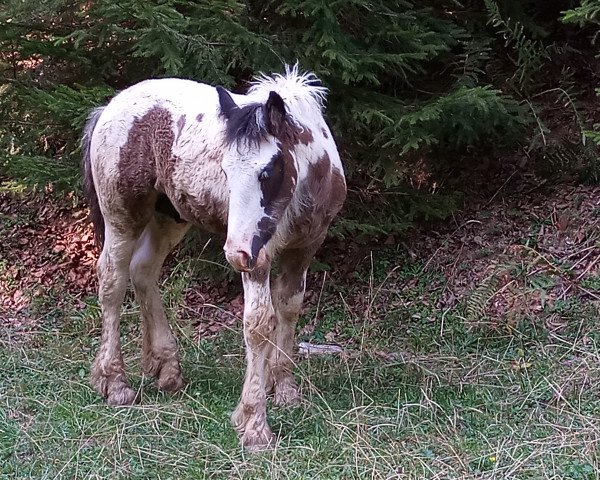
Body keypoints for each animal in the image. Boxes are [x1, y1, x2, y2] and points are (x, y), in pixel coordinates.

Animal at [82, 65, 350, 448]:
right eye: (225, 170)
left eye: (267, 171)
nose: (234, 253)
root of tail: (109, 107)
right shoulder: (260, 253)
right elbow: (258, 324)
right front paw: (254, 423)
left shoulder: (305, 247)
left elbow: (289, 308)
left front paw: (284, 388)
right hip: (122, 216)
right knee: (112, 281)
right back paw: (115, 382)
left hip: (170, 216)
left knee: (143, 270)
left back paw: (166, 368)